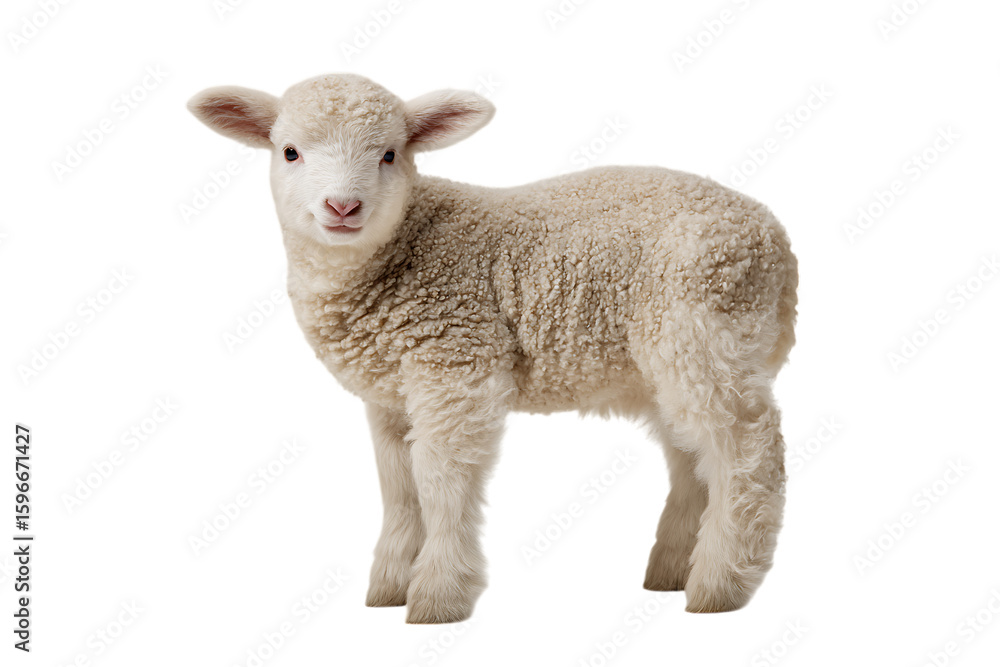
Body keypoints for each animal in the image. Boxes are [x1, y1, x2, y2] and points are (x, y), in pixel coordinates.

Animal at [188, 73, 798, 624]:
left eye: (389, 154)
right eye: (289, 152)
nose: (342, 206)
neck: (403, 247)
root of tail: (777, 244)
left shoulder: (455, 361)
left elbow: (440, 480)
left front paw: (437, 594)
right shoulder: (389, 396)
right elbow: (398, 485)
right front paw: (389, 585)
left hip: (703, 326)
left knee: (747, 449)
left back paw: (720, 582)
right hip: (669, 358)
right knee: (694, 456)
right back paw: (673, 568)